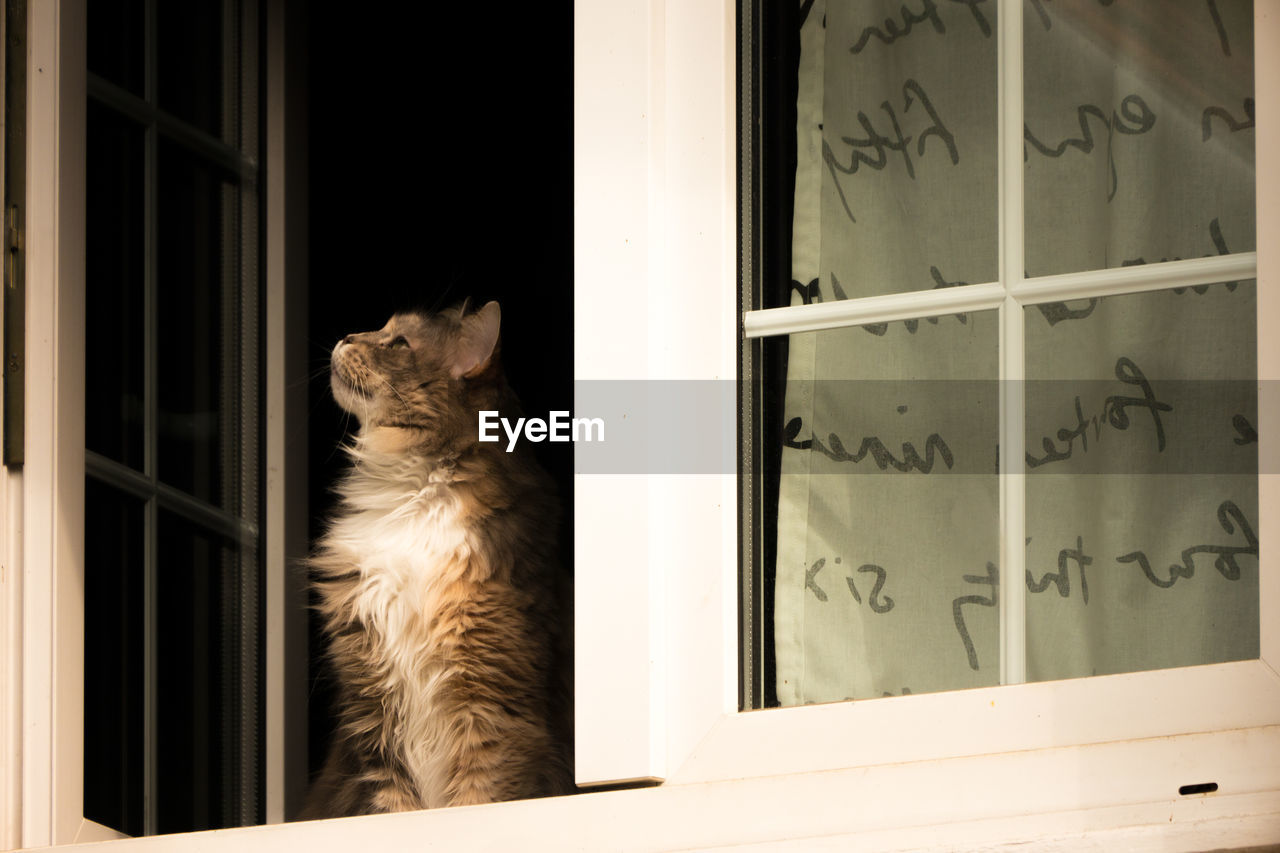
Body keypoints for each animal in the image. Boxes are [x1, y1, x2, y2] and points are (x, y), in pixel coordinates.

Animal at [299, 302, 570, 814]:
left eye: (398, 343)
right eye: (381, 330)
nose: (345, 337)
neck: (412, 496)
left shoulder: (492, 705)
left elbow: (476, 797)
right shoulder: (372, 712)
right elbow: (395, 804)